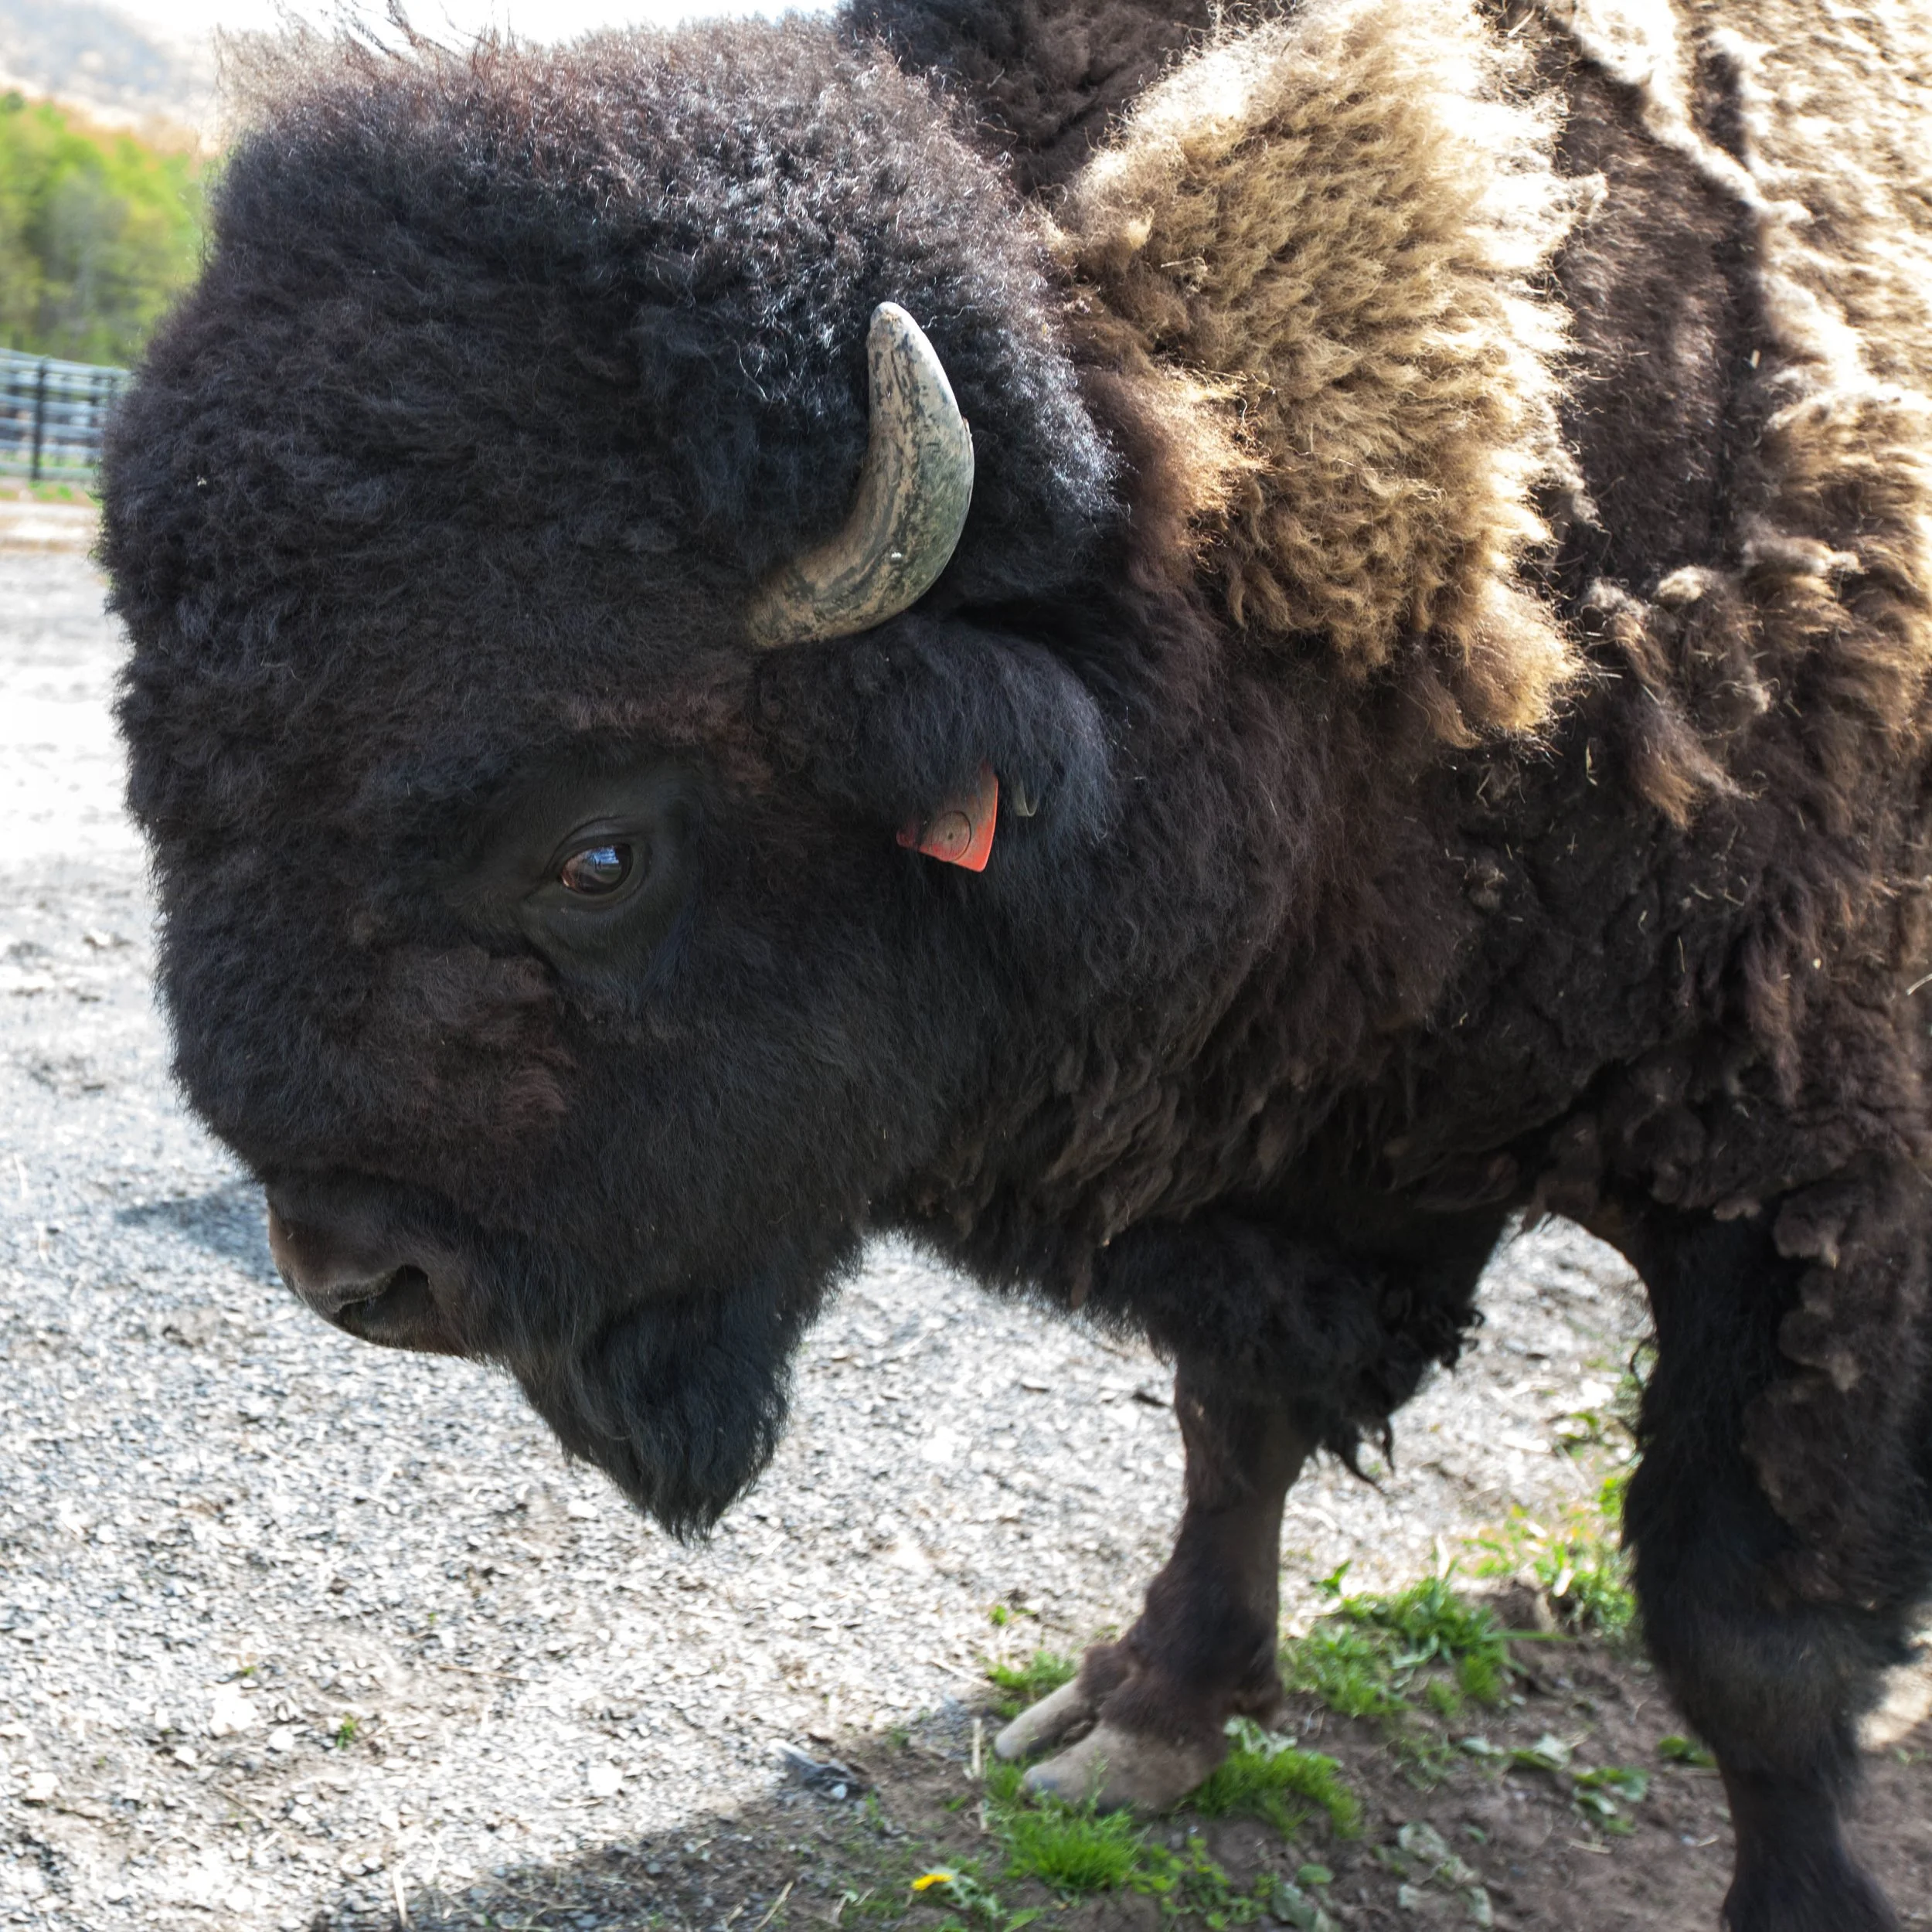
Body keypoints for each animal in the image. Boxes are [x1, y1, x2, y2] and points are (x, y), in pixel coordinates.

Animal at [102, 0, 1932, 1925]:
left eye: (596, 853)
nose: (355, 1272)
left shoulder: (1811, 1198)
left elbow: (1743, 1616)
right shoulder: (1288, 1152)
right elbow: (1231, 1429)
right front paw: (1139, 1719)